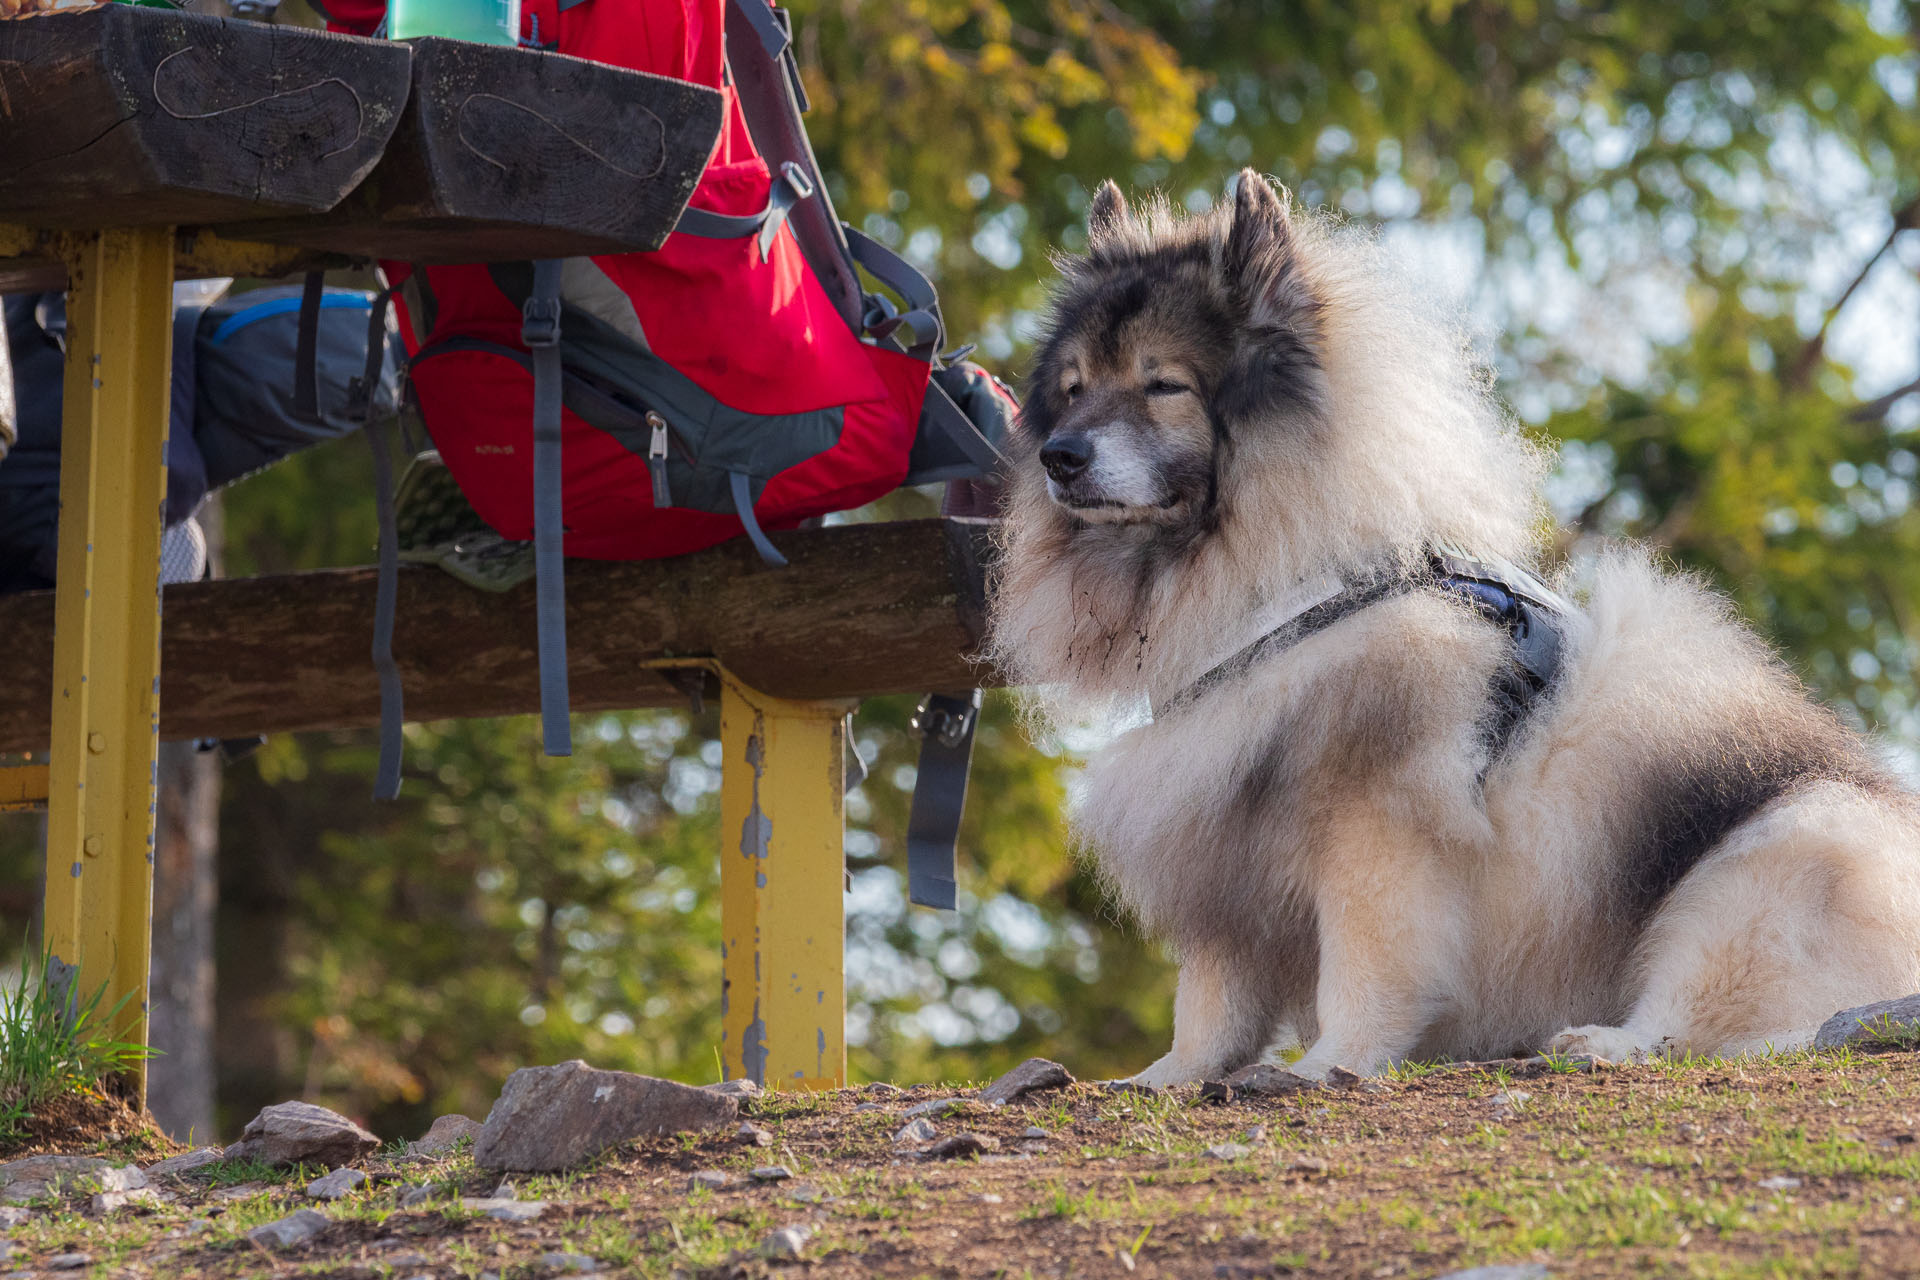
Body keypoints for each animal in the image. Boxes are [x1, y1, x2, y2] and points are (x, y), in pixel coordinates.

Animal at [990, 163, 1920, 1082]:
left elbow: (1364, 970)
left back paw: (1603, 1043)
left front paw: (1327, 1063)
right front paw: (1168, 1079)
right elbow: (1211, 1001)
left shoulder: (1375, 832)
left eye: (1163, 385)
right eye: (1073, 389)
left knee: (1715, 1015)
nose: (1060, 457)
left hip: (1777, 855)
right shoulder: (1220, 834)